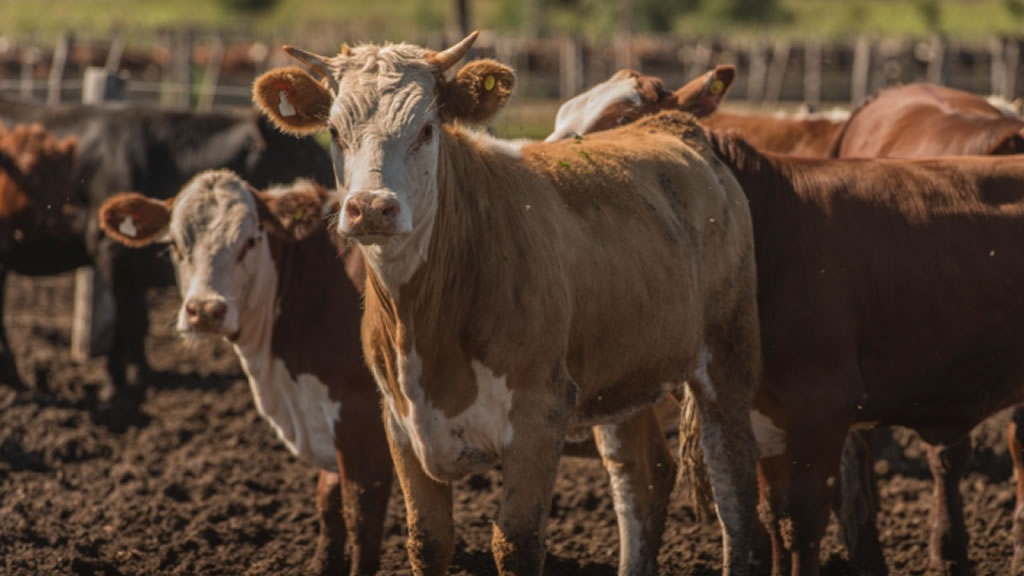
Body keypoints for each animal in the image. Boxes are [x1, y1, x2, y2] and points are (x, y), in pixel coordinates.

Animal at [0, 99, 331, 393]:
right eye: (303, 154)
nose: (329, 195)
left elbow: (140, 321)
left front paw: (144, 375)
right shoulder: (113, 252)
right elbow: (127, 319)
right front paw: (115, 384)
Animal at [95, 170, 391, 573]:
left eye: (250, 240)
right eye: (174, 242)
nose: (205, 310)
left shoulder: (362, 416)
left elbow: (360, 513)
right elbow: (329, 501)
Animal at [251, 33, 765, 573]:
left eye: (427, 128)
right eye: (333, 130)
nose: (371, 208)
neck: (427, 317)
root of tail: (674, 126)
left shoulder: (540, 413)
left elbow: (516, 541)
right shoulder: (399, 422)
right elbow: (427, 539)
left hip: (727, 357)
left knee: (734, 489)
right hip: (623, 378)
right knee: (641, 480)